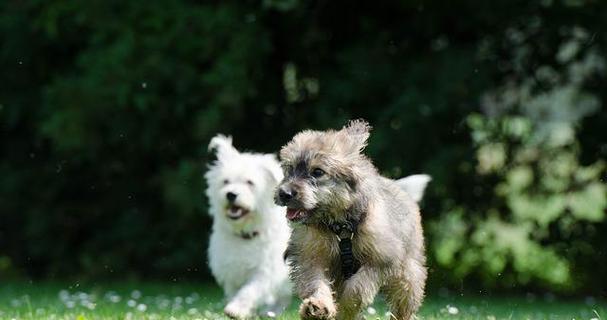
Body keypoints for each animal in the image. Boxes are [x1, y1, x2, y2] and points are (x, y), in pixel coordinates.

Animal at [205, 134, 294, 318]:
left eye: (249, 182)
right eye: (225, 181)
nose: (231, 194)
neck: (245, 233)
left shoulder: (265, 271)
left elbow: (249, 290)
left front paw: (236, 309)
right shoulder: (231, 271)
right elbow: (235, 291)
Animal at [276, 120, 428, 320]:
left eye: (318, 172)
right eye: (290, 168)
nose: (284, 193)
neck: (339, 226)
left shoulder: (381, 260)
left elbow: (358, 289)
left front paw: (345, 309)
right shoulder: (310, 257)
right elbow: (316, 282)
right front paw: (318, 307)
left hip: (408, 274)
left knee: (404, 301)